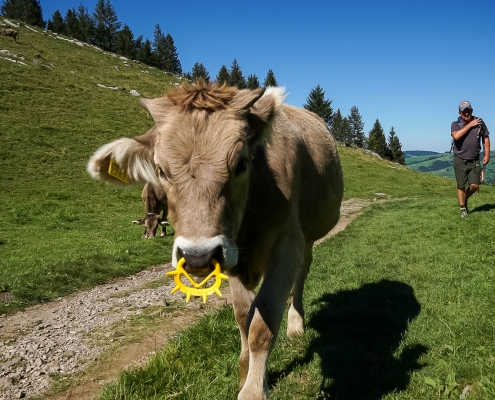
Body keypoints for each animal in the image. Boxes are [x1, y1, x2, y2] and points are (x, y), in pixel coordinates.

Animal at [86, 79, 344, 398]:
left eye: (242, 164)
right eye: (160, 170)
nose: (197, 256)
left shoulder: (287, 245)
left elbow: (263, 324)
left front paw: (253, 390)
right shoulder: (229, 253)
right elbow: (244, 315)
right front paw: (244, 371)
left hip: (308, 236)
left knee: (302, 276)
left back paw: (296, 324)